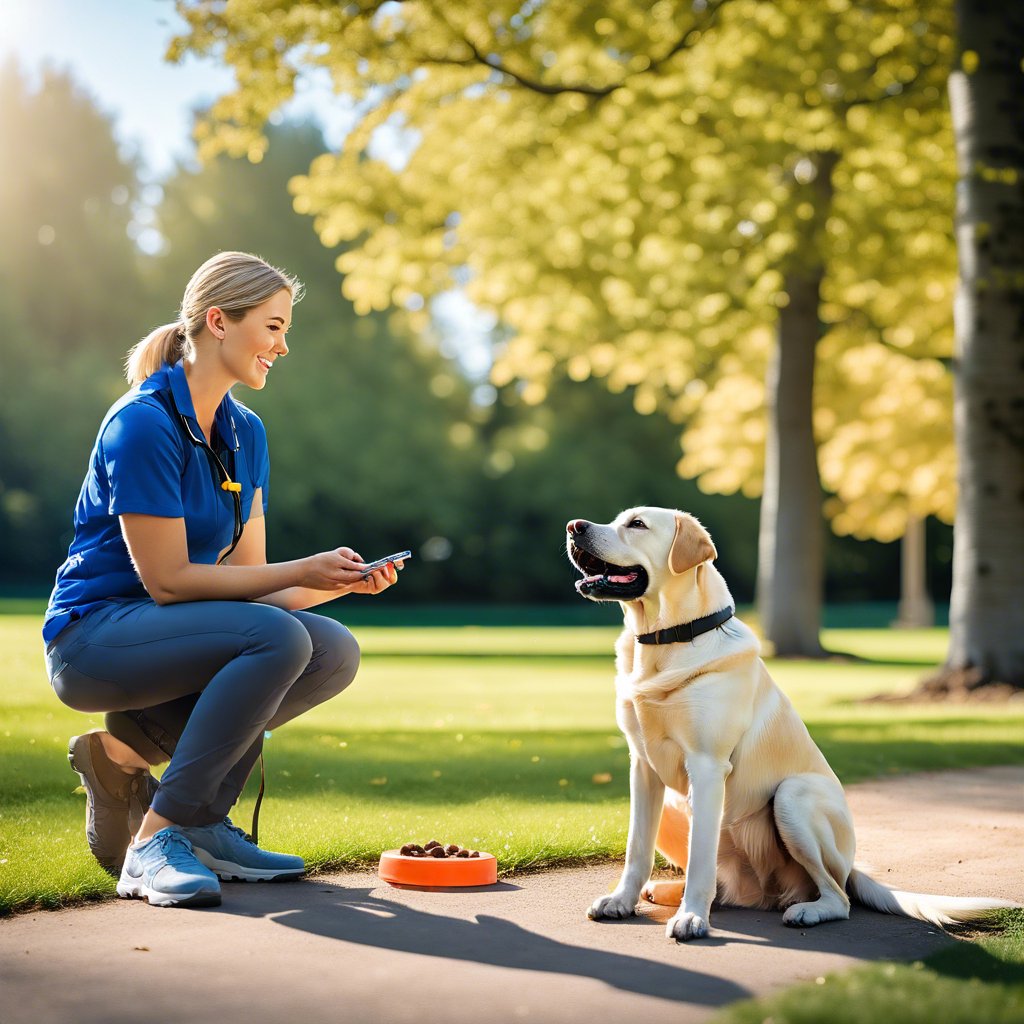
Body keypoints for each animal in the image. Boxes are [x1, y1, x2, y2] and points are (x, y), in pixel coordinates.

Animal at [569, 507, 1015, 937]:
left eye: (637, 524)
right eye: (616, 519)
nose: (575, 527)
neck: (668, 640)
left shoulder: (708, 766)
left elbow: (699, 861)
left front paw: (692, 917)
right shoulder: (642, 766)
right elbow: (636, 849)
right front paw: (622, 901)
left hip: (792, 796)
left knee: (837, 896)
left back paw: (806, 910)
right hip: (678, 805)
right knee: (723, 885)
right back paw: (664, 891)